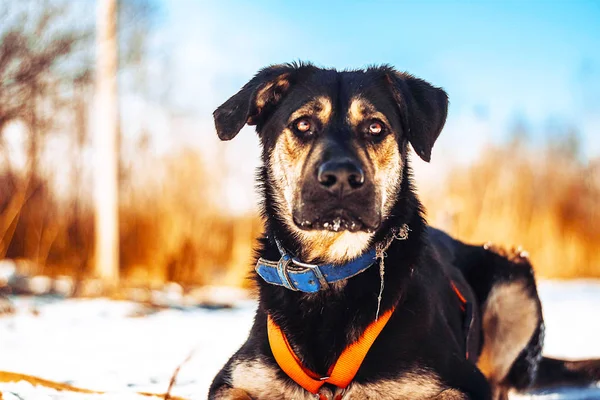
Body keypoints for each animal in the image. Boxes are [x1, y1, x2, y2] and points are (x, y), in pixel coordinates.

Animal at [207, 63, 600, 400]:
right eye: (303, 124)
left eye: (375, 127)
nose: (341, 178)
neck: (334, 269)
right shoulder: (234, 379)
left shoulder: (462, 381)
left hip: (514, 280)